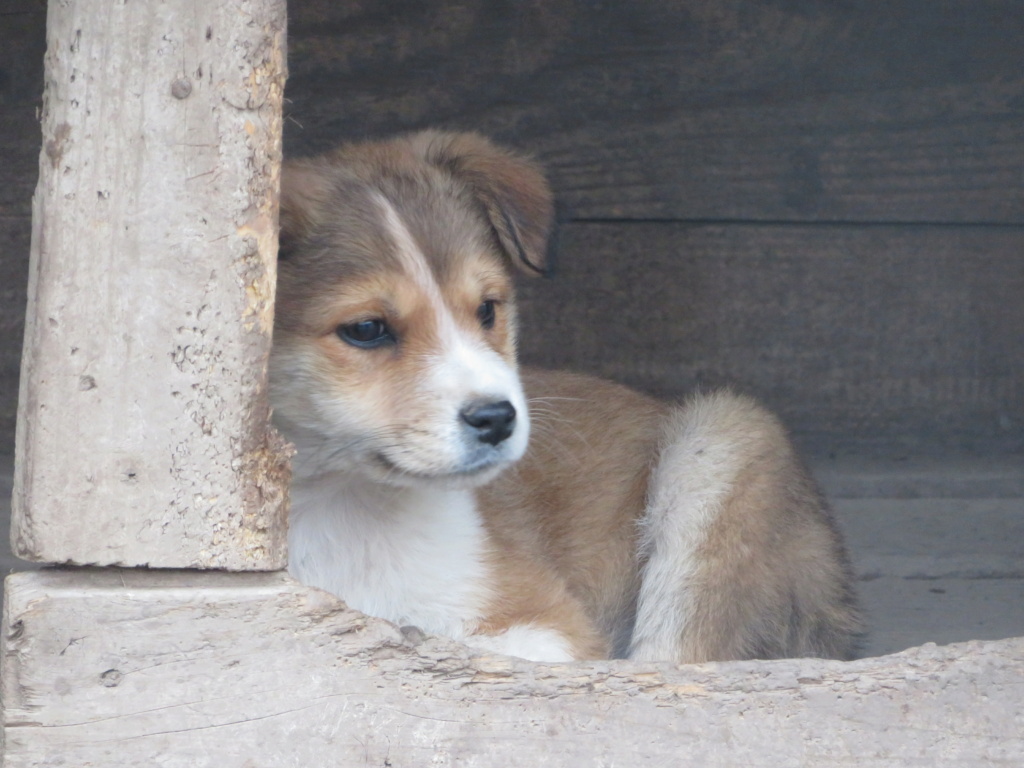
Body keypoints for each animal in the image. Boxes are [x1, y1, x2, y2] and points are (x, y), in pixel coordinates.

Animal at [268, 131, 860, 663]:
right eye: (366, 329)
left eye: (486, 309)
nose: (498, 419)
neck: (341, 503)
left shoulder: (551, 626)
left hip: (726, 442)